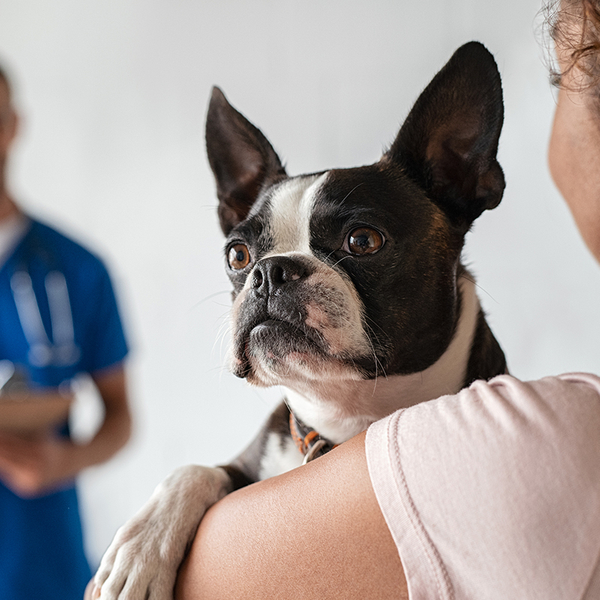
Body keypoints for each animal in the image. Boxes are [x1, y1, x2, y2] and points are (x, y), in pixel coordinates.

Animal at [94, 39, 506, 596]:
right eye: (238, 254)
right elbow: (195, 470)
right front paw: (139, 549)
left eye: (363, 240)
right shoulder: (243, 463)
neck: (341, 417)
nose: (269, 272)